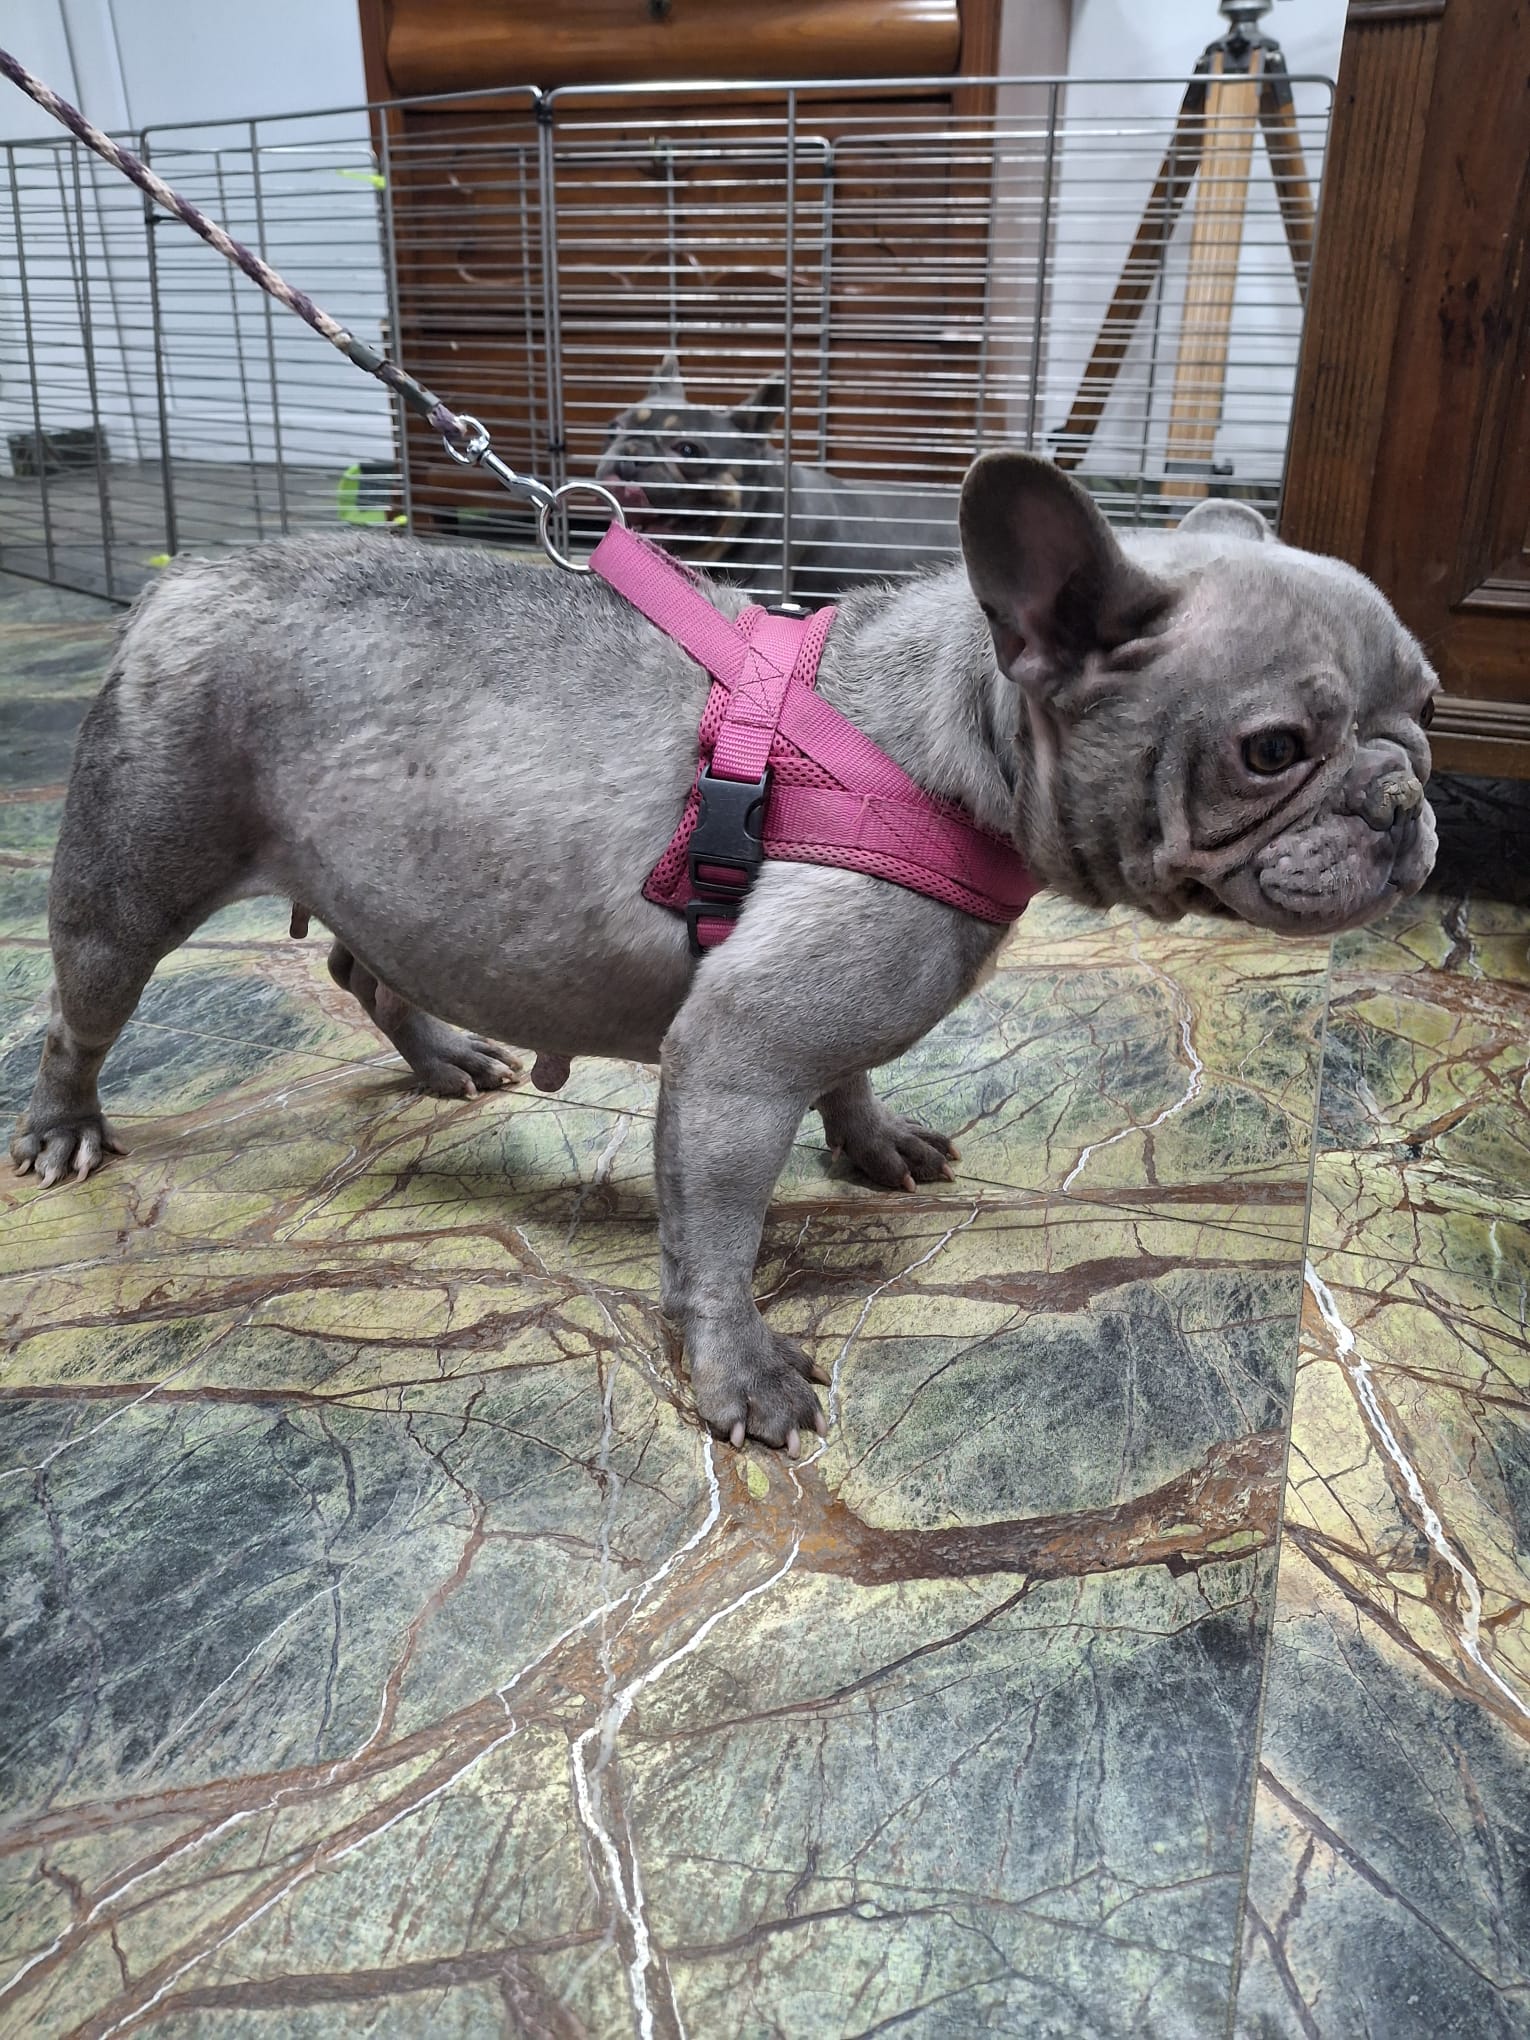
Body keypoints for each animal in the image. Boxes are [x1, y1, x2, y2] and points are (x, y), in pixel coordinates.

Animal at [10, 455, 1438, 1452]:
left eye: (1425, 706)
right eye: (1272, 750)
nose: (1405, 797)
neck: (960, 739)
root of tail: (179, 579)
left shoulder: (815, 1015)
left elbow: (852, 1074)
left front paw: (872, 1144)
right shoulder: (740, 1056)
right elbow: (718, 1237)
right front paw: (740, 1373)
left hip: (380, 884)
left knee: (362, 967)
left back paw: (443, 1054)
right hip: (130, 883)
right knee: (80, 1012)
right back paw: (66, 1129)